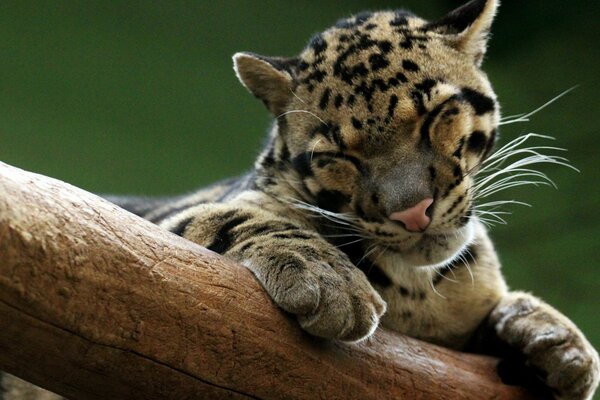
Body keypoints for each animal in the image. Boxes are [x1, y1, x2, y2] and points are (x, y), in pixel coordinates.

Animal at [2, 0, 596, 400]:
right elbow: (237, 216)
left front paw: (560, 342)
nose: (411, 212)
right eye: (339, 155)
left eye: (435, 116)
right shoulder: (152, 225)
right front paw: (330, 280)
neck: (417, 288)